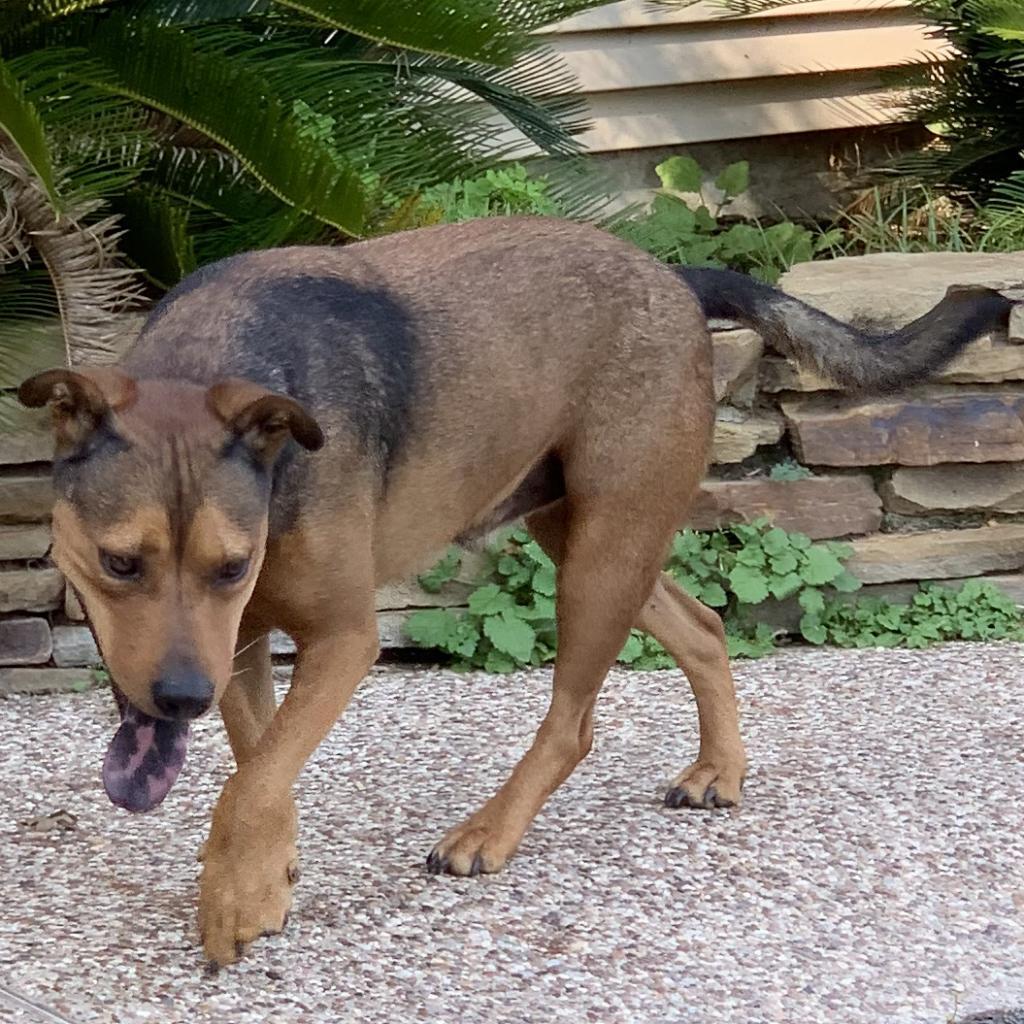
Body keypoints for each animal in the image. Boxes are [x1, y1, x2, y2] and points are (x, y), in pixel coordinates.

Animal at [19, 218, 1011, 966]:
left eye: (229, 565)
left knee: (573, 720)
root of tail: (672, 275)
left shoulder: (336, 636)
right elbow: (262, 763)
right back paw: (718, 770)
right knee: (702, 625)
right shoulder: (244, 643)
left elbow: (252, 779)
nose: (179, 699)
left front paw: (231, 897)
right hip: (585, 535)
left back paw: (489, 832)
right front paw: (267, 877)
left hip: (604, 554)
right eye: (119, 563)